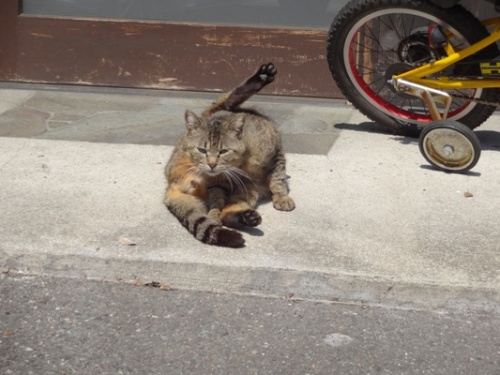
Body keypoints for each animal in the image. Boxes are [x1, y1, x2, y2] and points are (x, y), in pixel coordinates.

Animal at [164, 63, 296, 248]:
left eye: (223, 151)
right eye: (202, 150)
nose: (212, 164)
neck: (240, 165)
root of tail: (172, 185)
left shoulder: (276, 155)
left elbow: (278, 180)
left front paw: (282, 197)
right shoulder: (216, 183)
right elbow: (216, 203)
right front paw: (213, 215)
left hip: (247, 190)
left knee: (229, 213)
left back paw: (246, 218)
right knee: (228, 99)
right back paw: (262, 76)